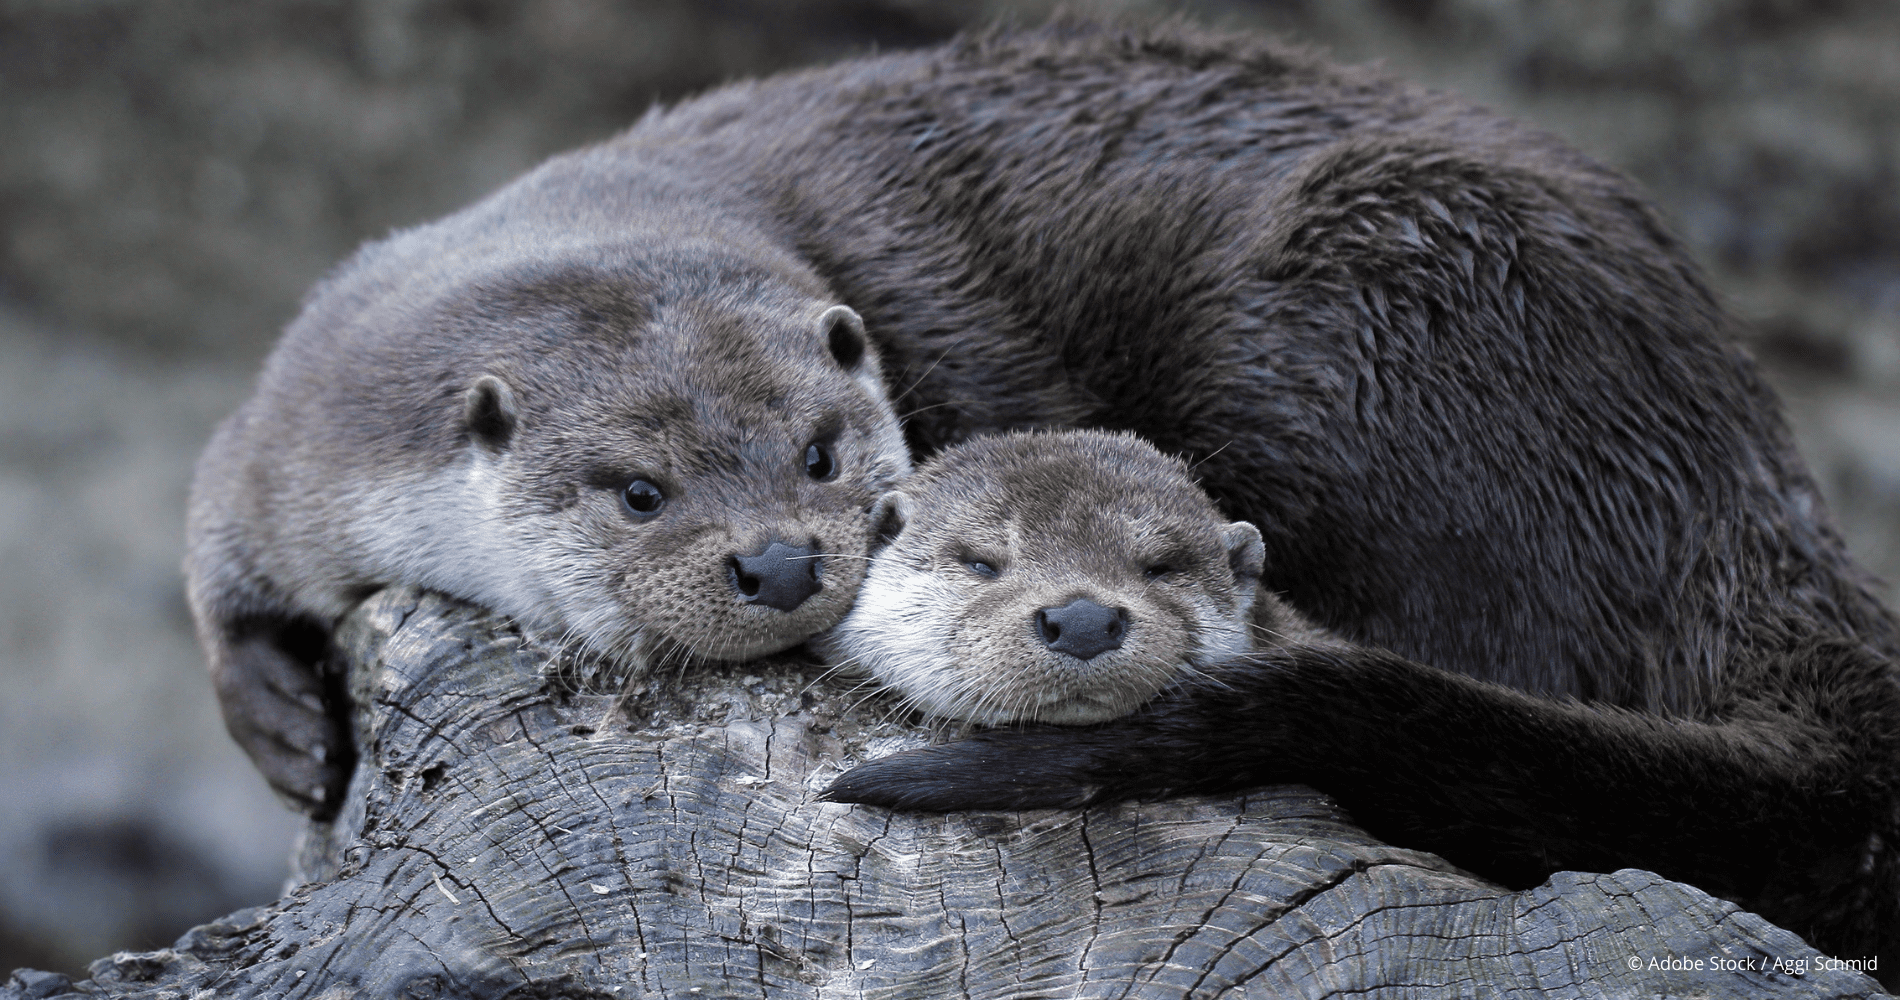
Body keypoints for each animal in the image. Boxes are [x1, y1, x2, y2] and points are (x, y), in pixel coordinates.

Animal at [201, 19, 1899, 969]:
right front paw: (284, 721)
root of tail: (1747, 491)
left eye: (826, 452)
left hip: (1388, 302)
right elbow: (224, 562)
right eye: (634, 489)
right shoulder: (290, 415)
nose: (778, 565)